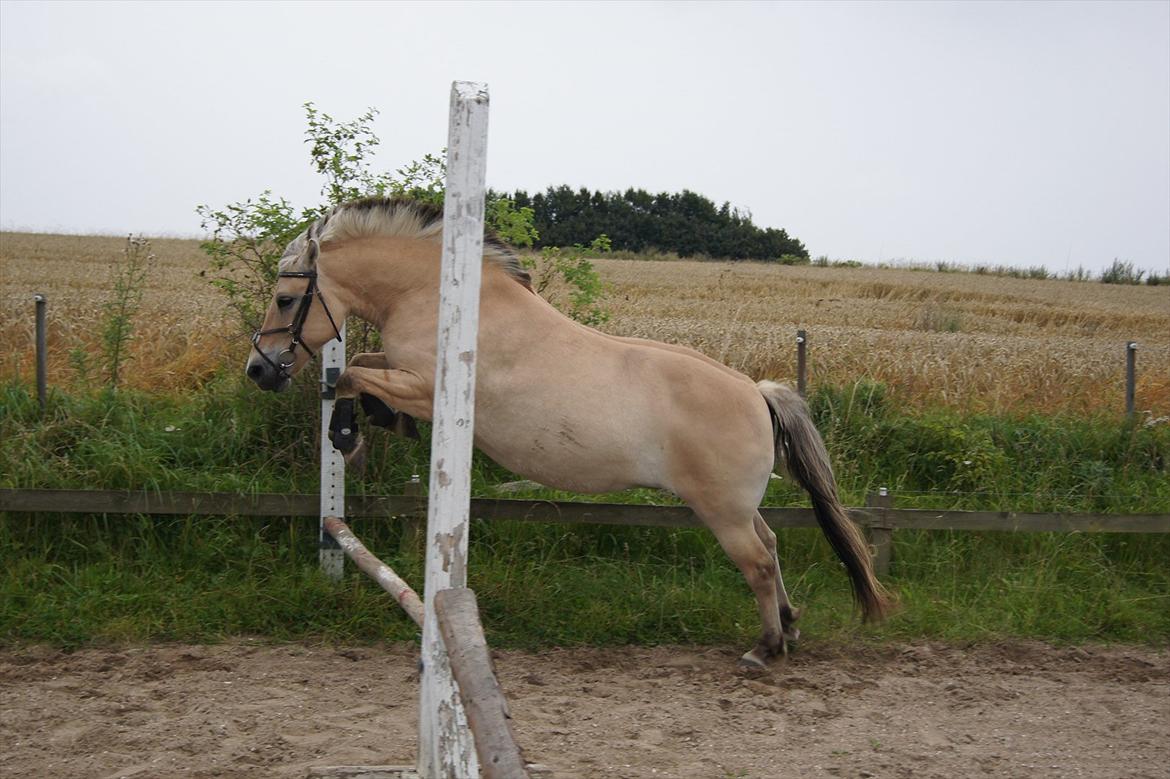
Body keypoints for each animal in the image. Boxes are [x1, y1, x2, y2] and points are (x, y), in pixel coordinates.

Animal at [244, 197, 884, 664]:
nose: (259, 370)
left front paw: (349, 437)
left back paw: (767, 647)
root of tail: (756, 392)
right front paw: (367, 424)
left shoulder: (428, 388)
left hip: (720, 510)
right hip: (738, 504)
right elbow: (362, 366)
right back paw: (790, 625)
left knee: (757, 562)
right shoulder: (406, 374)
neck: (437, 296)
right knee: (771, 546)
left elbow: (352, 373)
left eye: (286, 299)